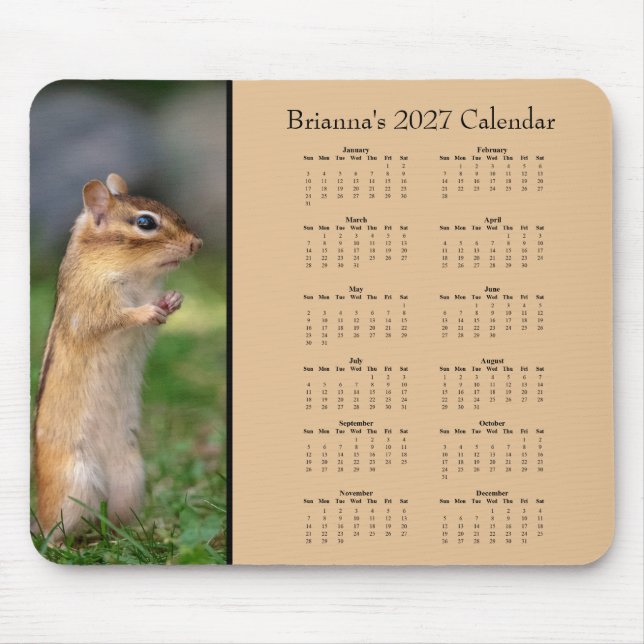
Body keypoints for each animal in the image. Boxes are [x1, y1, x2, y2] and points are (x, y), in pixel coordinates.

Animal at [33, 173, 202, 541]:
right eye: (145, 223)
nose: (197, 244)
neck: (137, 277)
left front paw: (174, 299)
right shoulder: (91, 304)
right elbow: (112, 319)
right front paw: (146, 311)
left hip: (131, 479)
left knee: (114, 520)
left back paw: (134, 533)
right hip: (74, 483)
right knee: (58, 527)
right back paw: (61, 543)